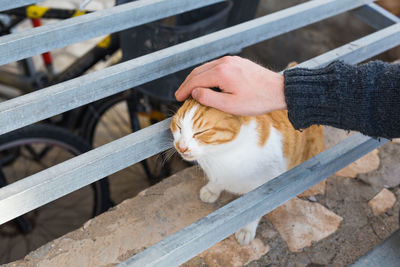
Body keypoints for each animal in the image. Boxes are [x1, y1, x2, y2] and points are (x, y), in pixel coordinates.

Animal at [170, 98, 324, 245]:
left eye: (200, 132)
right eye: (178, 126)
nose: (181, 147)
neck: (220, 156)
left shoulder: (263, 188)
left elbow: (253, 210)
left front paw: (246, 229)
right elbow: (217, 181)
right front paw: (212, 189)